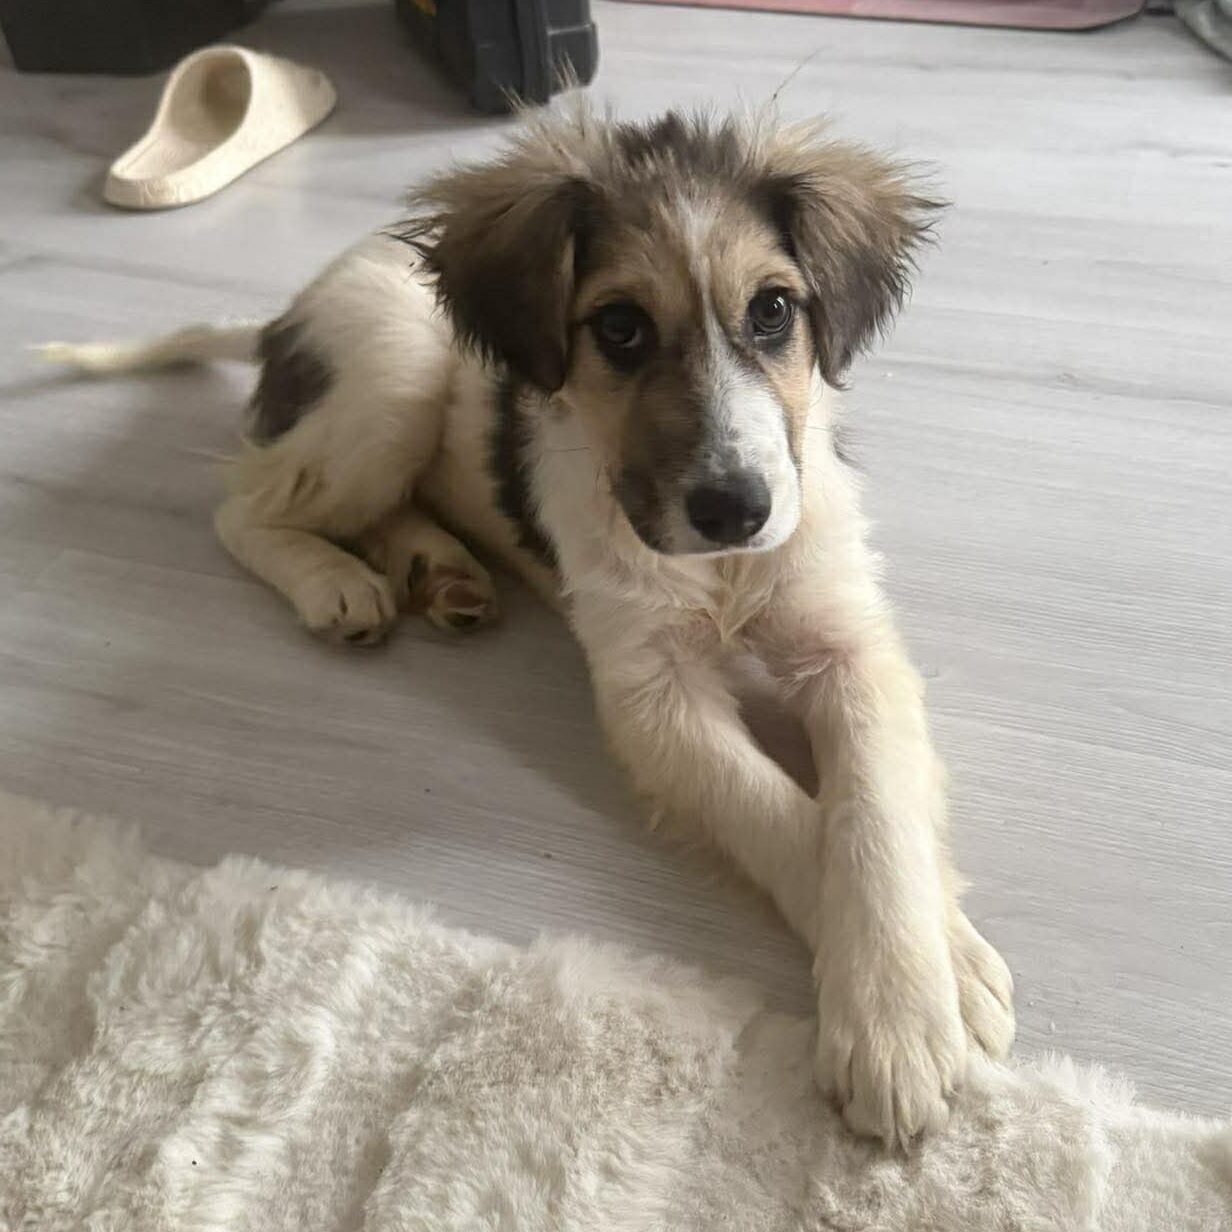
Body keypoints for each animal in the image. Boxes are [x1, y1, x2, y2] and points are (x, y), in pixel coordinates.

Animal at [46, 102, 1015, 1148]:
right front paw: (907, 1017)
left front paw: (917, 981)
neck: (716, 571)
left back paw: (440, 571)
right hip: (395, 375)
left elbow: (874, 811)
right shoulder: (650, 691)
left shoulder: (849, 641)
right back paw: (335, 583)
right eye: (620, 327)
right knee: (241, 508)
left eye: (772, 311)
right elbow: (777, 814)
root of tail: (295, 304)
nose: (735, 509)